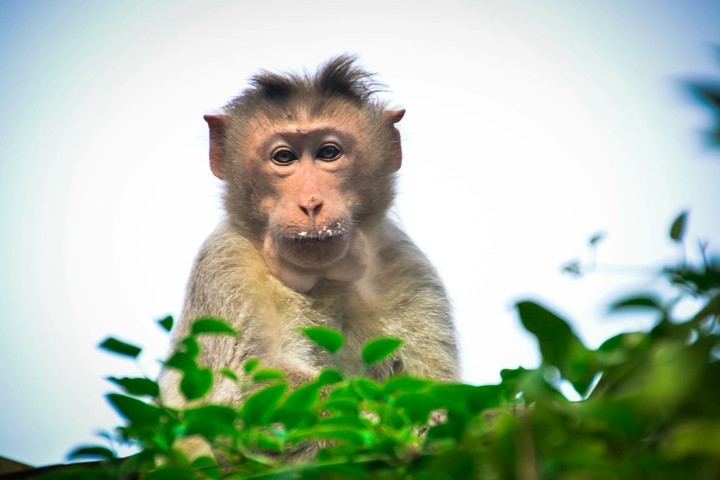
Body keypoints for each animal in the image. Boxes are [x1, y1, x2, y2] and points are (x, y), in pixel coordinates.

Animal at [161, 55, 459, 411]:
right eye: (284, 157)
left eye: (328, 153)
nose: (311, 203)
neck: (323, 278)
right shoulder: (226, 267)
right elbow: (254, 378)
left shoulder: (407, 268)